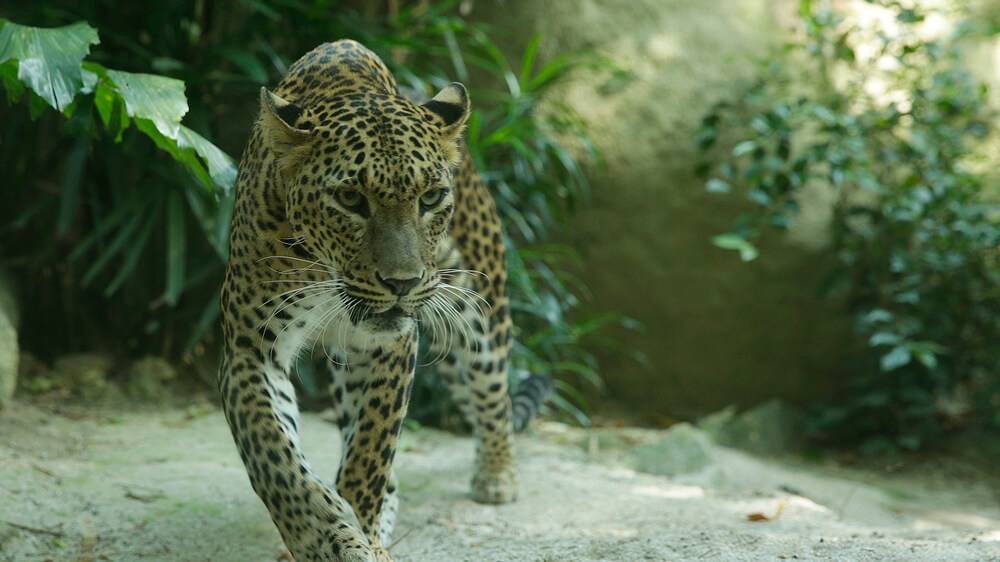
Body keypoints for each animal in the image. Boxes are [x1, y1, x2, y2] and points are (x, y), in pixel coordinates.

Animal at [218, 39, 550, 562]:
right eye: (351, 199)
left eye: (431, 198)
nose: (403, 283)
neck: (324, 270)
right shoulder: (250, 351)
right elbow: (275, 458)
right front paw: (322, 537)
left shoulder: (389, 345)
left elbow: (370, 450)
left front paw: (363, 536)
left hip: (479, 302)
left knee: (493, 390)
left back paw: (497, 474)